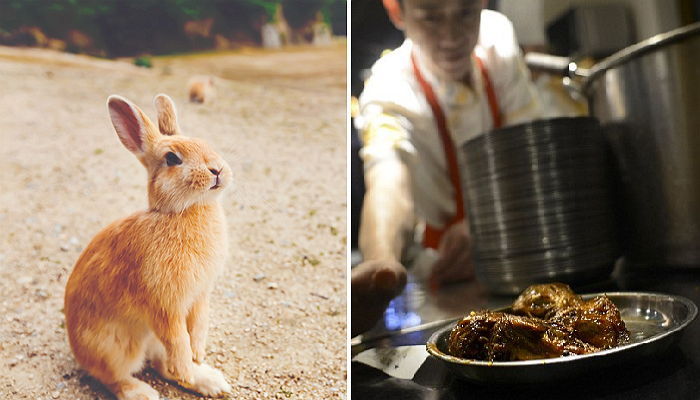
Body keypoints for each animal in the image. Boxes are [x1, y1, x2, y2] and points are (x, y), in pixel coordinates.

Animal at [64, 94, 232, 400]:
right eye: (172, 158)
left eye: (205, 142)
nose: (218, 170)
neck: (179, 211)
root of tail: (78, 352)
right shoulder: (164, 305)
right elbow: (178, 337)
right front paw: (188, 366)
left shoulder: (200, 295)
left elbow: (198, 326)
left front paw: (198, 356)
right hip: (117, 348)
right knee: (115, 377)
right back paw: (145, 392)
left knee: (161, 366)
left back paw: (209, 380)